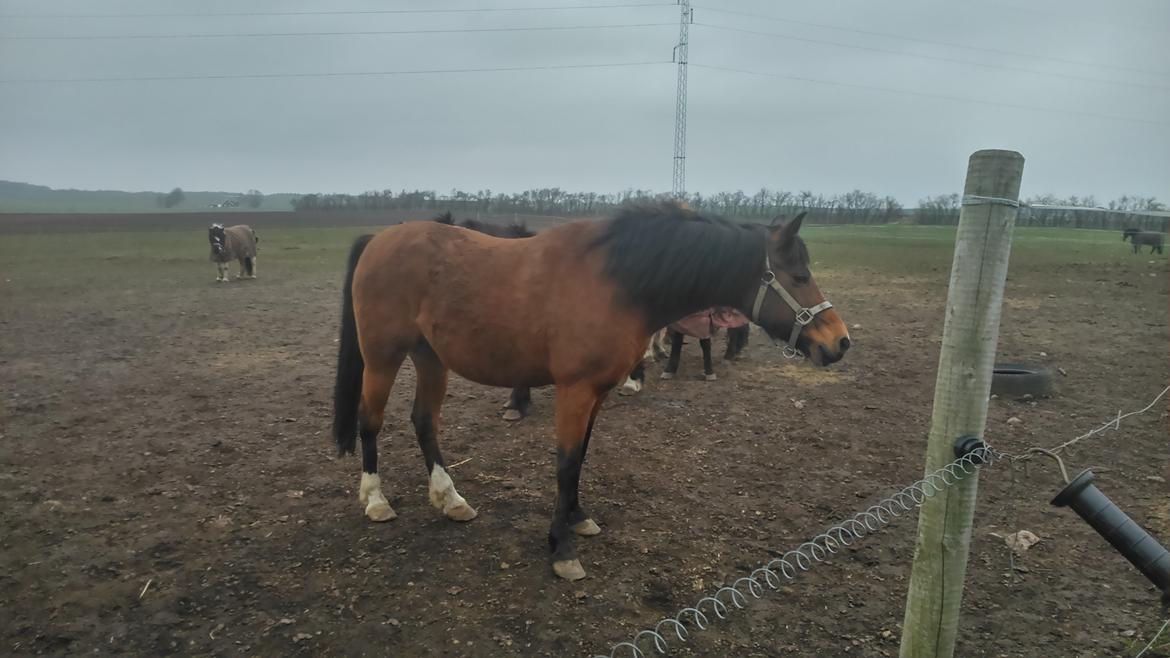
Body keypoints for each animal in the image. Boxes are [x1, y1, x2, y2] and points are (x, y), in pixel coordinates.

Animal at [329, 201, 851, 578]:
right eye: (800, 275)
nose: (839, 342)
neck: (617, 282)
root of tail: (380, 239)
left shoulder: (597, 391)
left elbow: (581, 458)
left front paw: (578, 519)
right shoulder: (575, 390)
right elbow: (565, 464)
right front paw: (561, 548)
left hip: (431, 358)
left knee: (424, 421)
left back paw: (450, 498)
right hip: (382, 358)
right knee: (370, 421)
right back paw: (375, 500)